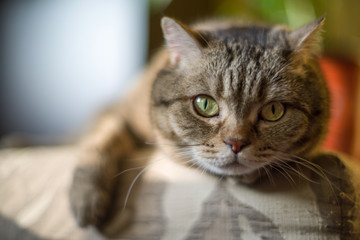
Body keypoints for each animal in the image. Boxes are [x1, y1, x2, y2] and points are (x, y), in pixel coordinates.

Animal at [69, 15, 330, 232]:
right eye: (205, 104)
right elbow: (101, 141)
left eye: (273, 110)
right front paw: (86, 198)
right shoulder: (115, 112)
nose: (236, 143)